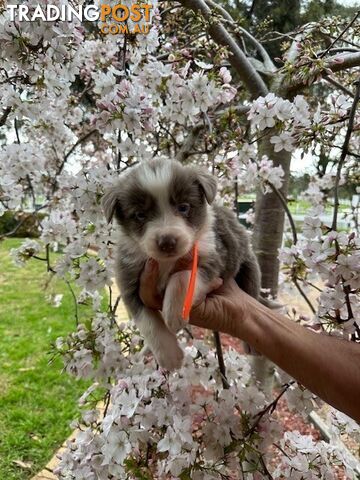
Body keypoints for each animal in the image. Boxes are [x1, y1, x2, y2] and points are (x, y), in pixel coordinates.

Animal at [102, 159, 260, 370]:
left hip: (249, 267)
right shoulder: (128, 280)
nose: (167, 242)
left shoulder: (215, 258)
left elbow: (182, 277)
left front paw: (175, 313)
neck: (166, 262)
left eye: (183, 207)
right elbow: (148, 323)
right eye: (140, 215)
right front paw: (170, 356)